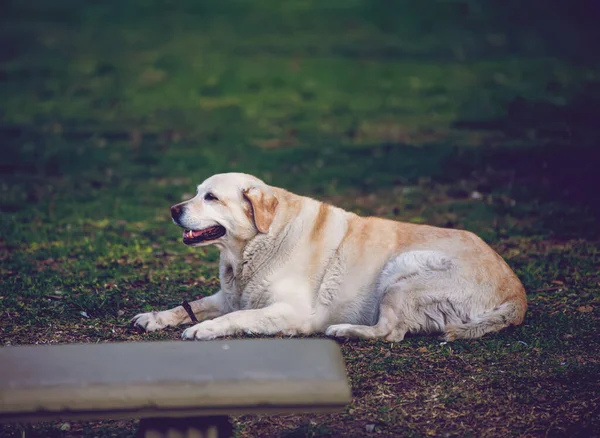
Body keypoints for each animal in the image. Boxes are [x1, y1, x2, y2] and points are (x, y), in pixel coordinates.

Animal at [131, 172, 524, 342]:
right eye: (196, 192)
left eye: (211, 197)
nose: (173, 210)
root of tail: (517, 295)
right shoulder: (228, 295)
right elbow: (190, 305)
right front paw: (156, 317)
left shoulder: (289, 311)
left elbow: (236, 317)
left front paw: (205, 329)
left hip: (401, 274)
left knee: (390, 332)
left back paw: (344, 330)